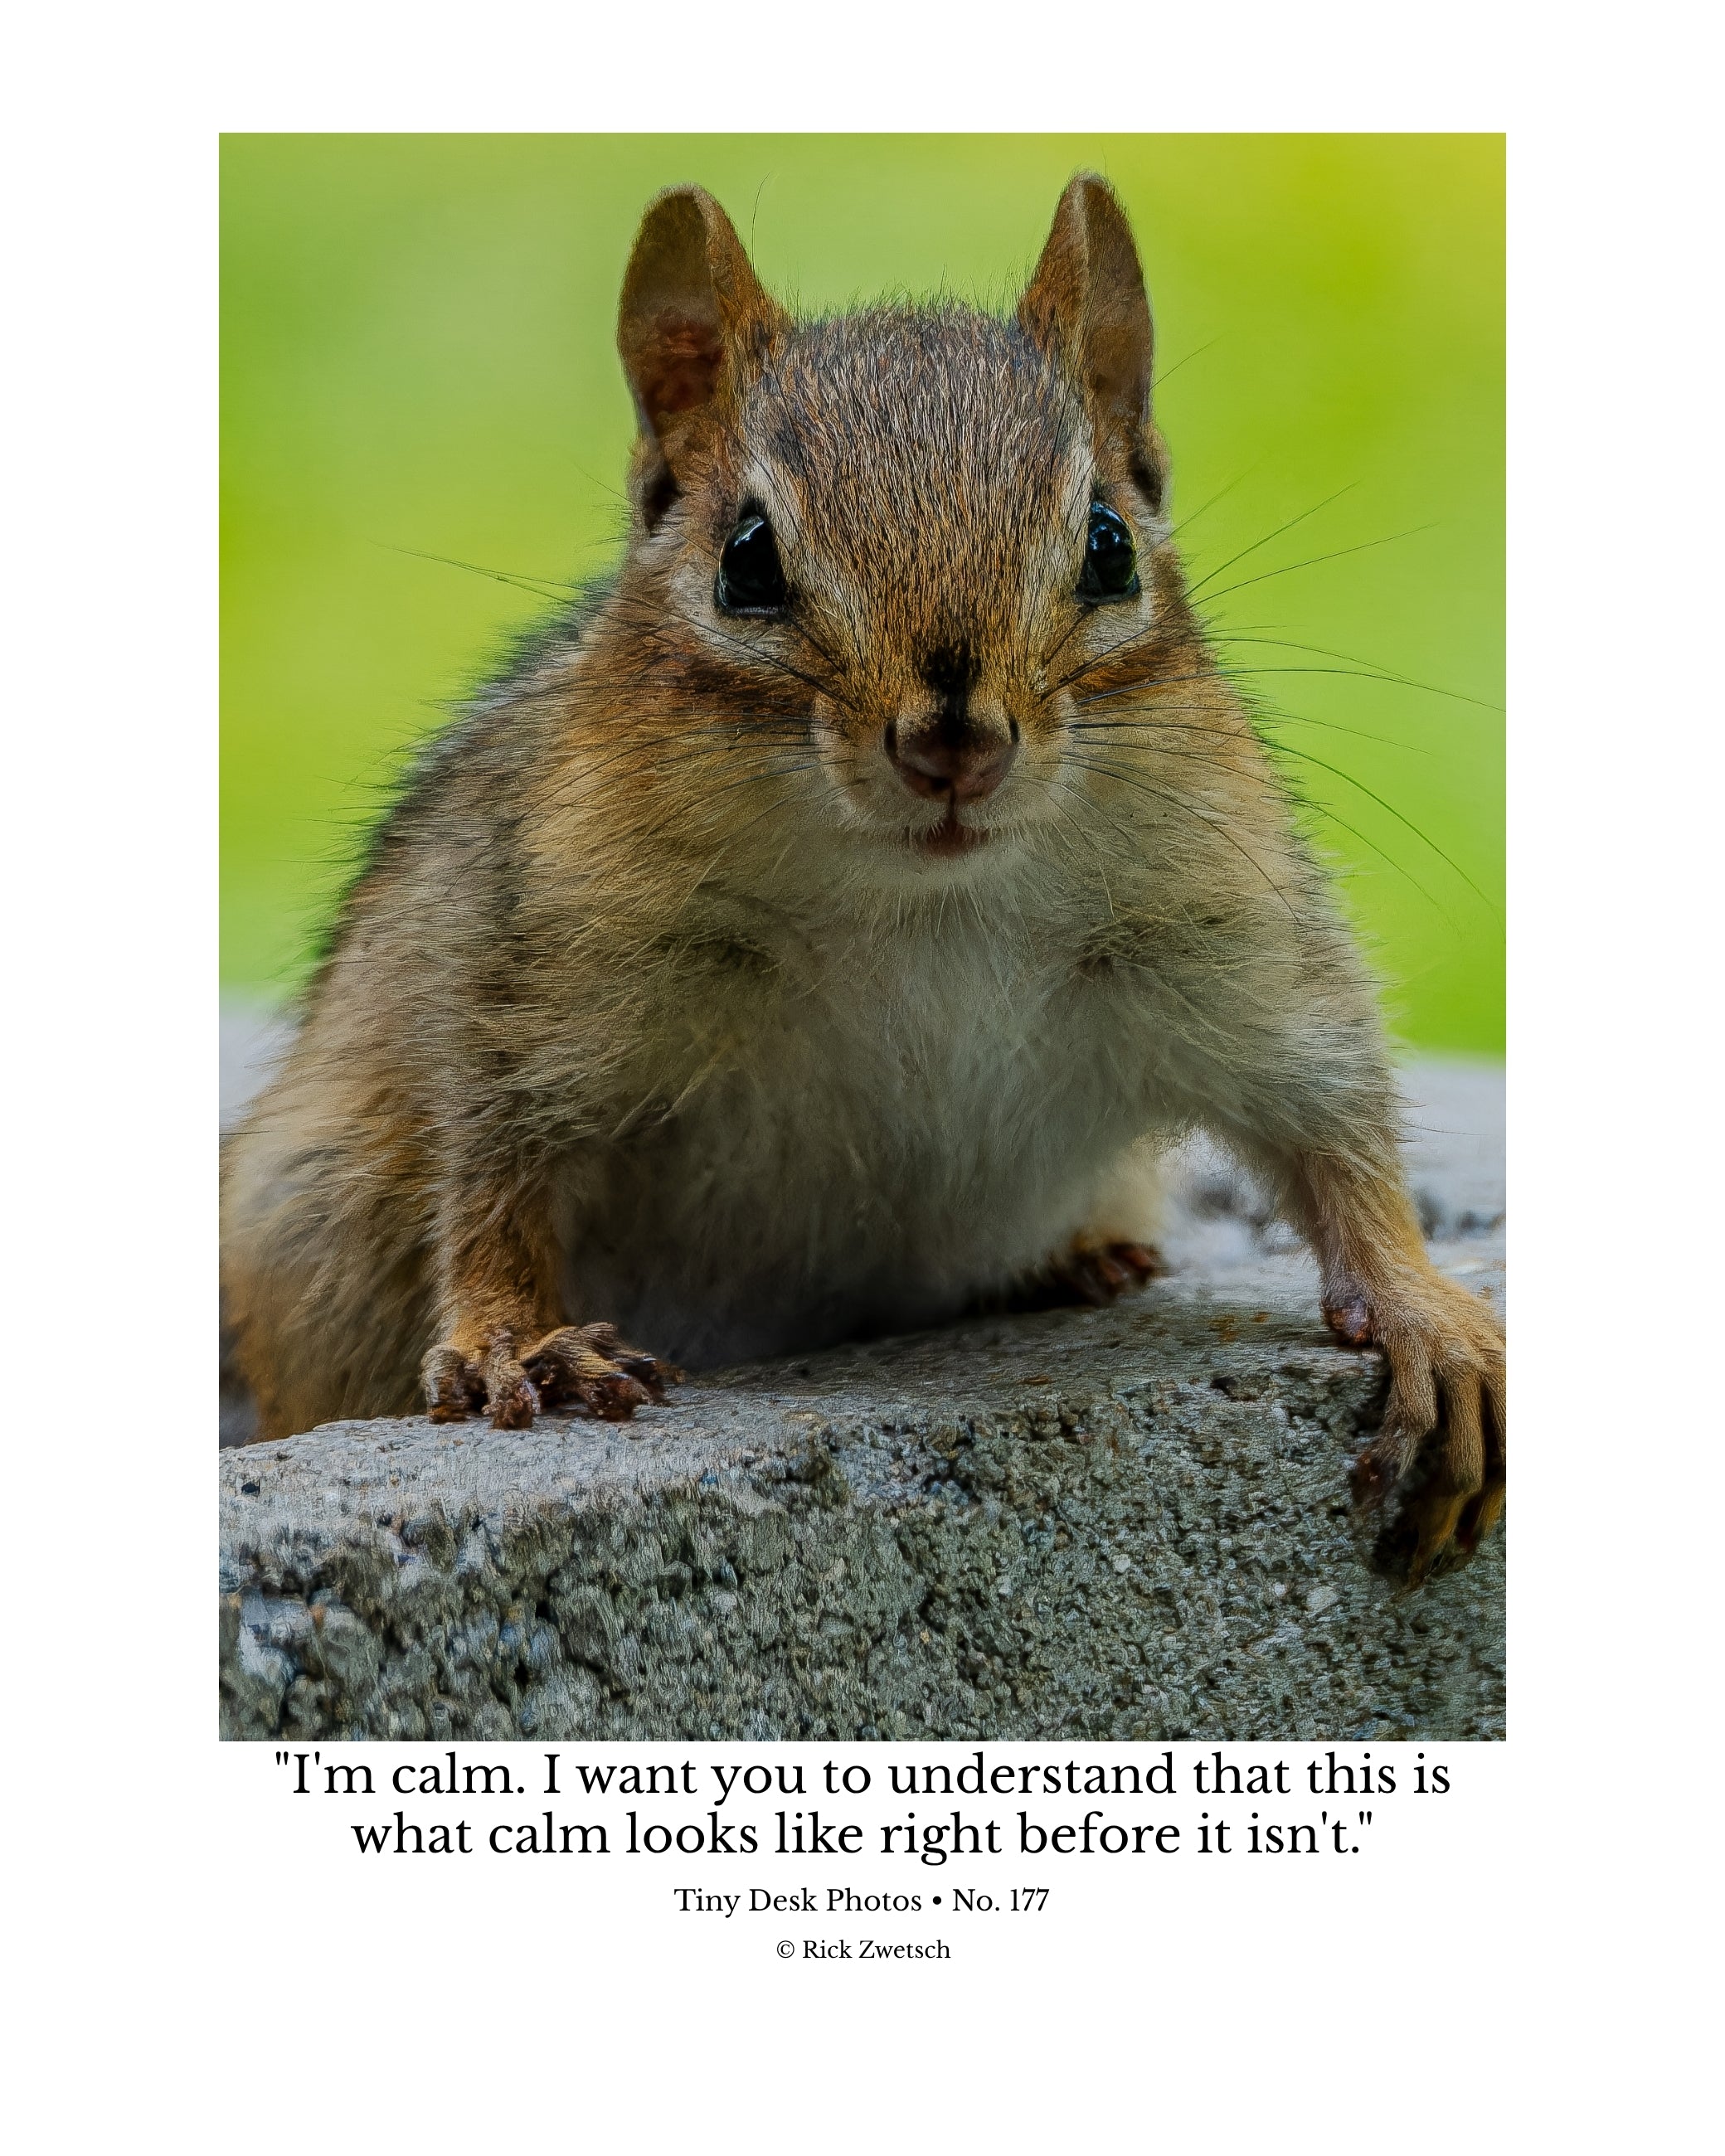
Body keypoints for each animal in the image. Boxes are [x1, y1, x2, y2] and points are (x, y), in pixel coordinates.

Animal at [220, 174, 1505, 1582]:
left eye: (1110, 544)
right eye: (746, 559)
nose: (954, 743)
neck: (921, 903)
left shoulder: (1221, 932)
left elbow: (1327, 1121)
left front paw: (1424, 1312)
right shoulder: (536, 965)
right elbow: (498, 1167)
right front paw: (513, 1336)